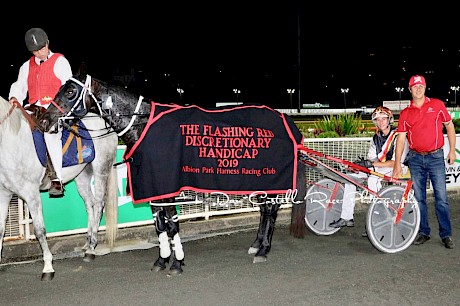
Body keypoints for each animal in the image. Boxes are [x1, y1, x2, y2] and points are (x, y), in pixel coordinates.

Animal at [38, 72, 306, 274]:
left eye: (70, 92)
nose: (44, 120)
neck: (144, 124)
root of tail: (286, 119)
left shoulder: (168, 187)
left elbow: (172, 225)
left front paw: (177, 262)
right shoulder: (152, 187)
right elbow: (159, 226)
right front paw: (162, 260)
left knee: (270, 210)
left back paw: (263, 249)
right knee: (264, 210)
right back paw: (257, 244)